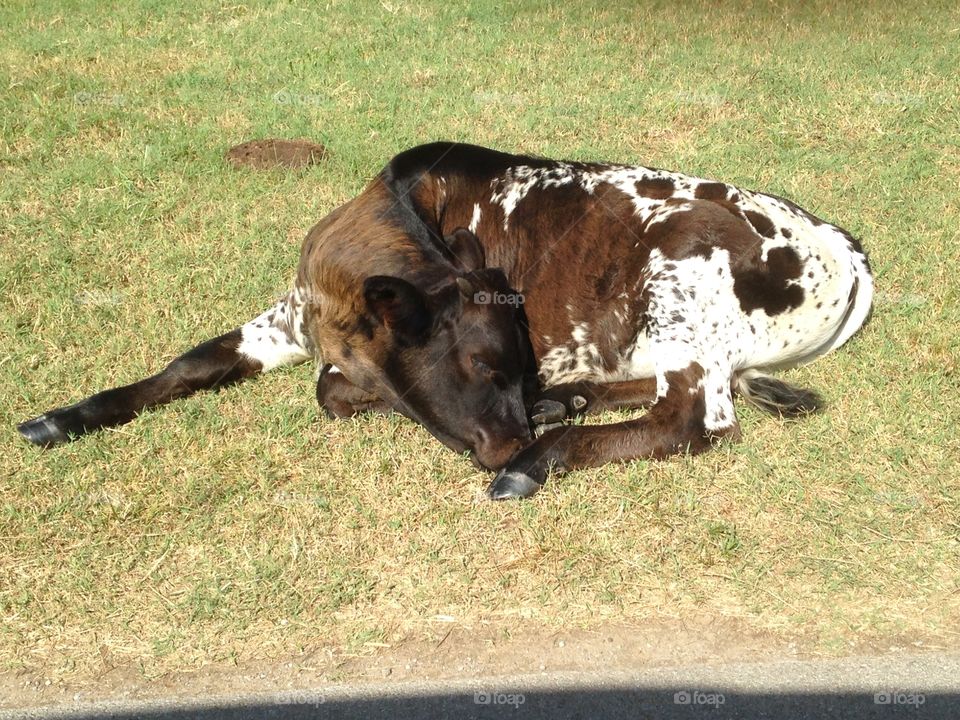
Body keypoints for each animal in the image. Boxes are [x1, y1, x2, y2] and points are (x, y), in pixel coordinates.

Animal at [16, 143, 872, 498]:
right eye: (482, 367)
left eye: (506, 362)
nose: (509, 439)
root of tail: (841, 243)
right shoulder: (289, 318)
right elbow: (189, 363)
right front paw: (65, 417)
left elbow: (330, 391)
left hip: (680, 291)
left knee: (690, 421)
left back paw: (539, 459)